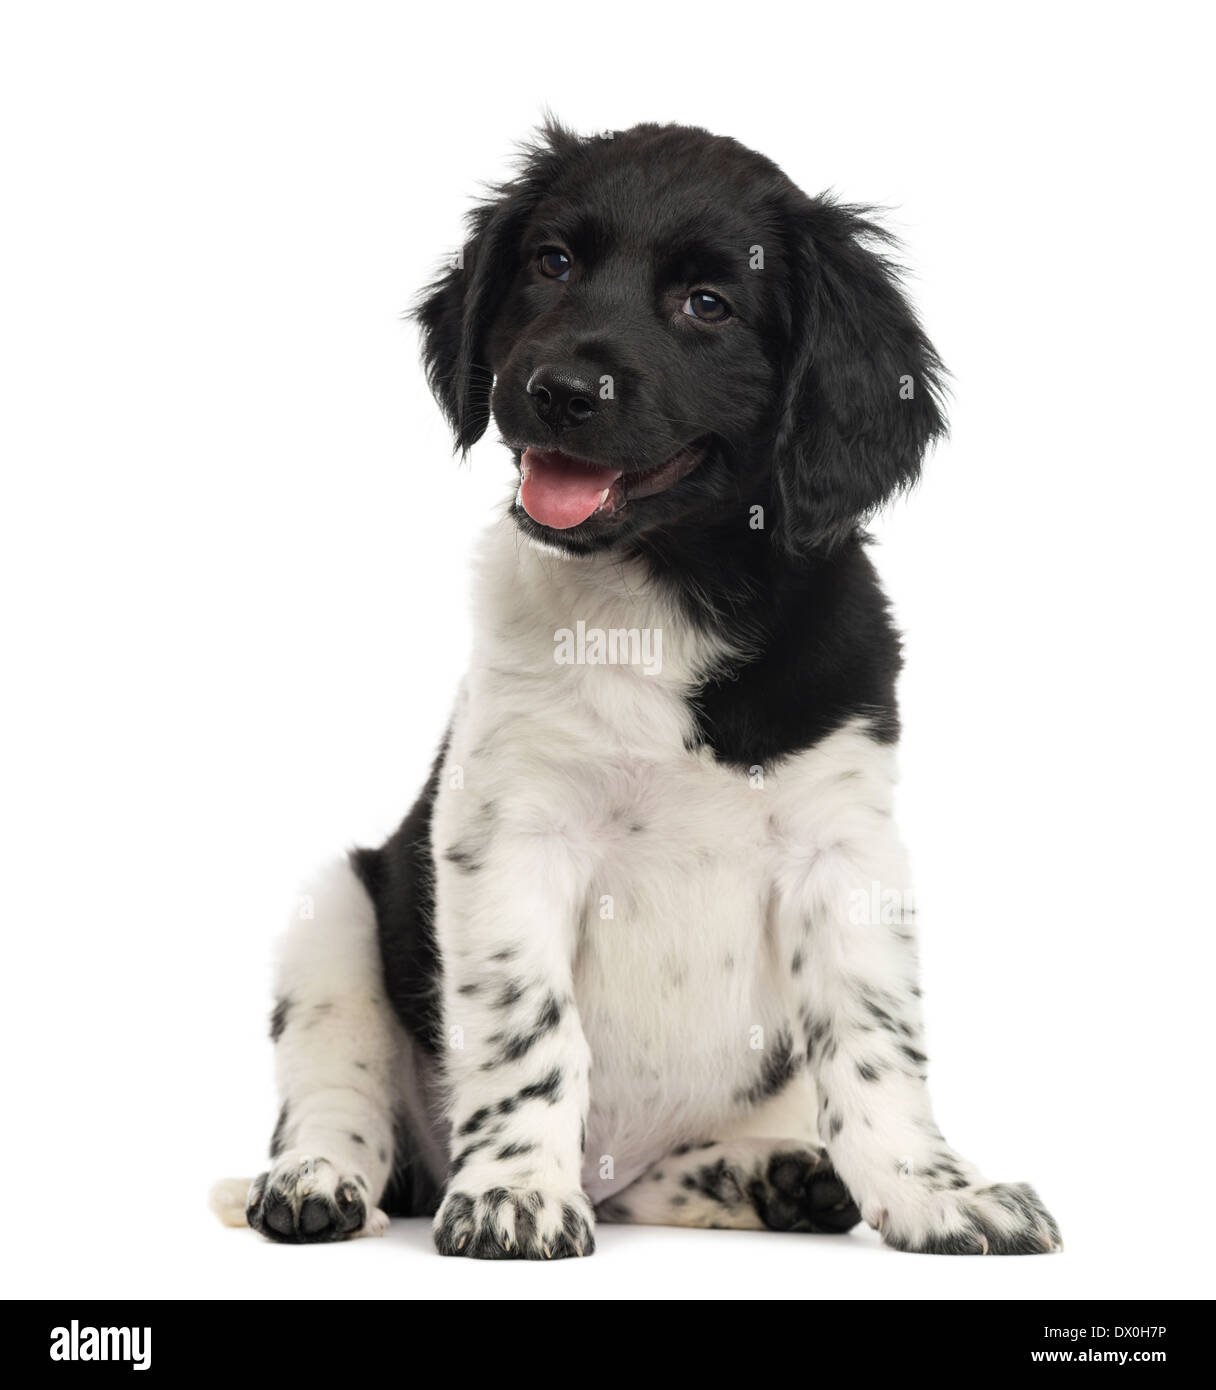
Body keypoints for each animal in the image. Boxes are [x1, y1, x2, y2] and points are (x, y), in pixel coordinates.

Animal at [218, 122, 1067, 1262]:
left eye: (708, 303)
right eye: (551, 264)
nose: (559, 388)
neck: (663, 594)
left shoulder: (845, 848)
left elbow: (875, 1041)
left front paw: (934, 1190)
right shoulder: (511, 834)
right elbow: (530, 1031)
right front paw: (515, 1189)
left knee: (652, 1181)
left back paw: (775, 1177)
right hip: (335, 921)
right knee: (334, 1095)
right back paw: (318, 1180)